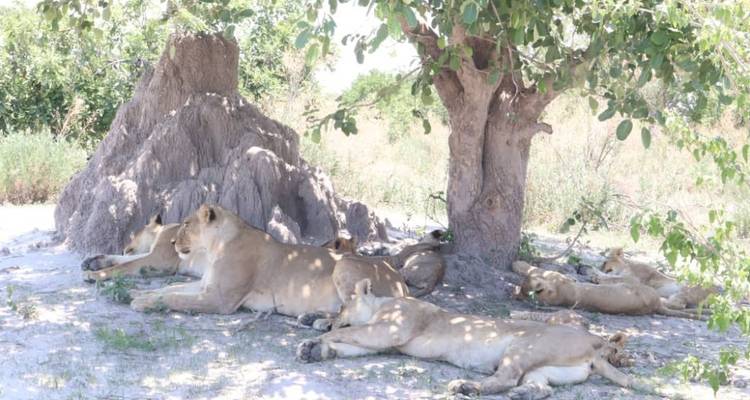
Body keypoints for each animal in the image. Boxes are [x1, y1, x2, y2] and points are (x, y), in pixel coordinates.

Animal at [127, 204, 409, 322]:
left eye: (186, 223)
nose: (173, 242)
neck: (216, 247)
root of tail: (400, 279)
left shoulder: (220, 300)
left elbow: (175, 298)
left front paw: (142, 302)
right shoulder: (206, 286)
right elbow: (169, 289)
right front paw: (139, 293)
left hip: (345, 264)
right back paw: (311, 317)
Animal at [297, 279, 636, 399]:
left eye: (344, 304)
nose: (336, 313)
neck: (381, 304)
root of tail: (596, 343)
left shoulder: (392, 330)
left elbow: (345, 332)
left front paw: (319, 337)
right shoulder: (385, 341)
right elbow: (346, 344)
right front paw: (317, 350)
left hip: (522, 346)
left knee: (506, 378)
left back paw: (464, 387)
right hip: (546, 369)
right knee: (540, 388)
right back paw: (521, 394)